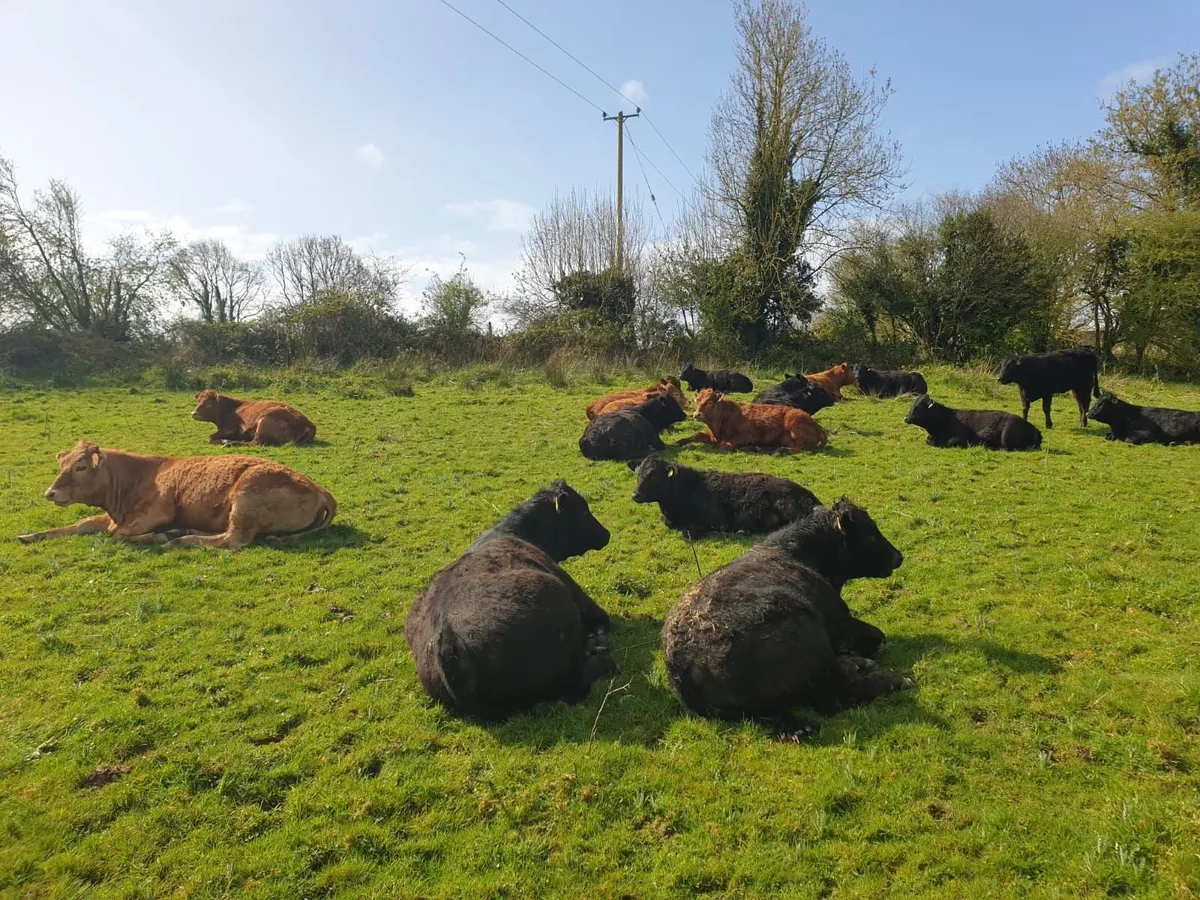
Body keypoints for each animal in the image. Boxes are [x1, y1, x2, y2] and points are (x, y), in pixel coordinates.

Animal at [16, 440, 336, 549]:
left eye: (81, 466)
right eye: (62, 464)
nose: (50, 493)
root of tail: (319, 488)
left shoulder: (156, 512)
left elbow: (117, 534)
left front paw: (160, 536)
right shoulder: (112, 517)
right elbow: (79, 525)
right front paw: (29, 535)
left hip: (246, 498)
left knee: (234, 540)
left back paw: (179, 539)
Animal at [628, 454, 820, 538]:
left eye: (654, 476)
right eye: (638, 475)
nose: (635, 495)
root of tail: (810, 496)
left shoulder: (718, 521)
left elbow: (690, 531)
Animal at [661, 498, 911, 739]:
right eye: (870, 534)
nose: (898, 557)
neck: (796, 553)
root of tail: (683, 663)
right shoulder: (840, 620)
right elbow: (878, 636)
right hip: (808, 634)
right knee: (834, 697)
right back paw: (892, 679)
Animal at [679, 388, 828, 453]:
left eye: (710, 402)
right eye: (697, 401)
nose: (696, 414)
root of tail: (817, 425)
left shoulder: (747, 435)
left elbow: (726, 444)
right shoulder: (711, 437)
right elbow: (696, 435)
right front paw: (679, 442)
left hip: (794, 424)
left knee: (800, 447)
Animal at [904, 395, 1042, 451]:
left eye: (917, 407)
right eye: (911, 405)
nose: (906, 418)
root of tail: (1034, 429)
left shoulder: (960, 439)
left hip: (1006, 437)